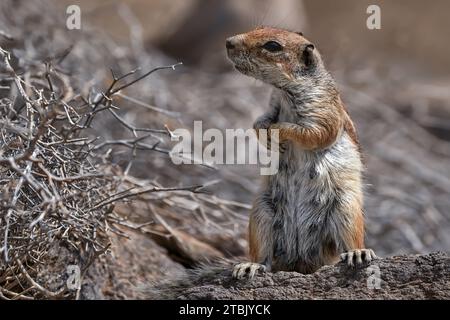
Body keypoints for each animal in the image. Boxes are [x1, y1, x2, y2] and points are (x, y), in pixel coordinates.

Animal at [225, 26, 376, 278]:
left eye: (273, 46)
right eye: (258, 28)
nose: (229, 42)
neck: (286, 92)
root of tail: (300, 262)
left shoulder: (322, 111)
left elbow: (312, 133)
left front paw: (277, 132)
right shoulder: (273, 104)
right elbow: (259, 121)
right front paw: (266, 137)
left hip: (345, 207)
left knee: (349, 242)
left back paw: (358, 253)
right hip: (261, 213)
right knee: (264, 257)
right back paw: (250, 265)